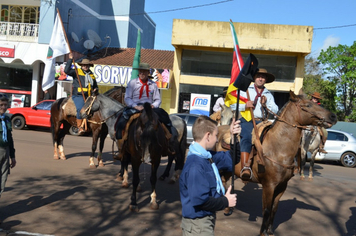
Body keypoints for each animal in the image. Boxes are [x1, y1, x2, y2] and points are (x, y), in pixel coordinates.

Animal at [217, 91, 336, 236]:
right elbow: (266, 210)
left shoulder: (282, 186)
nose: (333, 116)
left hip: (228, 171)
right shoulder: (269, 186)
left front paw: (270, 231)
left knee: (224, 182)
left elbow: (274, 209)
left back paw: (227, 208)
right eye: (307, 105)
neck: (277, 149)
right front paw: (262, 233)